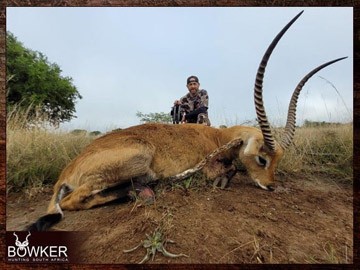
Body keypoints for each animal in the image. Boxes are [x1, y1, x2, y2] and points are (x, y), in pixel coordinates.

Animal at [25, 9, 346, 231]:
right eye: (262, 159)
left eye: (278, 160)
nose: (271, 186)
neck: (218, 136)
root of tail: (68, 169)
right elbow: (225, 172)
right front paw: (223, 180)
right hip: (138, 158)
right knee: (73, 200)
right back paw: (141, 191)